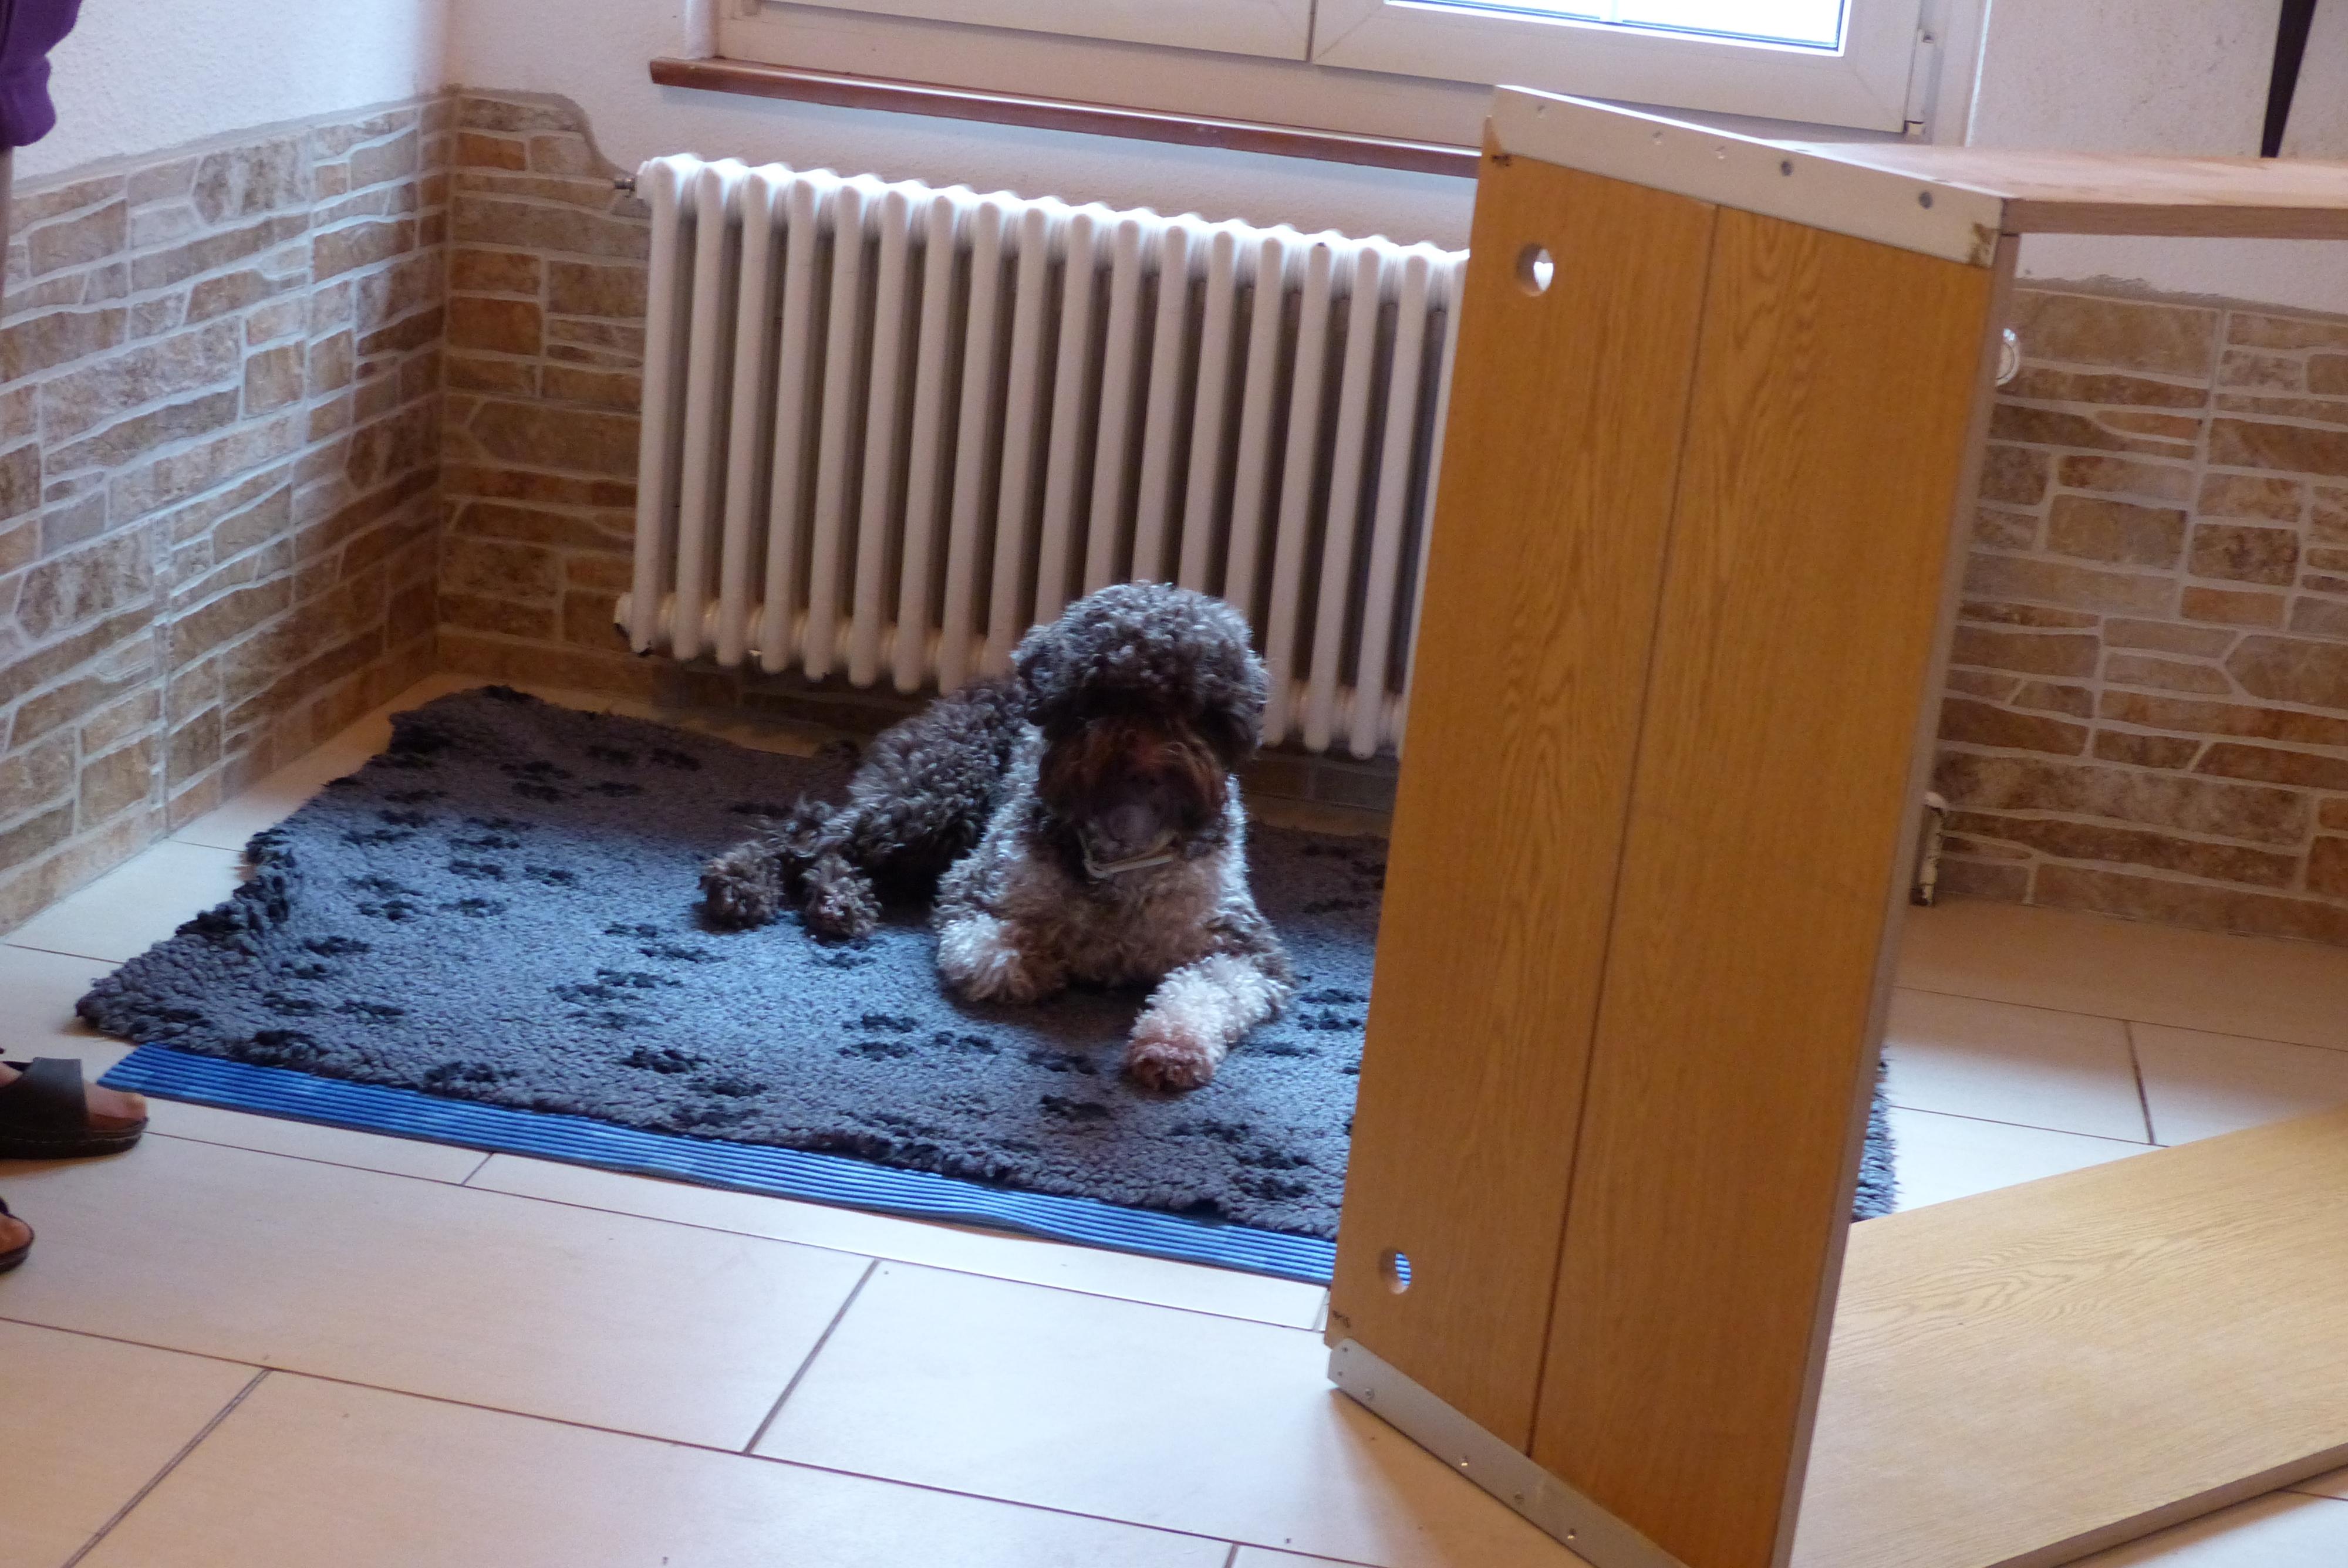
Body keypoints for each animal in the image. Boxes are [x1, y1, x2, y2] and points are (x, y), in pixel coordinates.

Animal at [699, 582, 1294, 1091]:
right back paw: (756, 886)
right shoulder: (974, 890)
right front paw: (1044, 963)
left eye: (1191, 705)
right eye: (1101, 695)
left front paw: (1172, 1048)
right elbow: (998, 955)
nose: (1144, 768)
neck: (1123, 853)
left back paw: (835, 900)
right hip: (935, 803)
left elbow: (1207, 990)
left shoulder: (1243, 946)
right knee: (813, 832)